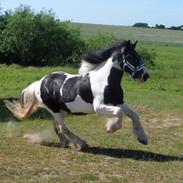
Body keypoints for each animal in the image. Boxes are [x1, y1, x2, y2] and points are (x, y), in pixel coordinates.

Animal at [5, 40, 149, 151]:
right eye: (131, 57)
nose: (145, 76)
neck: (105, 80)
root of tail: (40, 82)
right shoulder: (99, 107)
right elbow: (119, 113)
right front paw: (111, 128)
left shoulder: (118, 102)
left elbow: (134, 115)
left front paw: (142, 138)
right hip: (54, 110)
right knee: (63, 127)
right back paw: (80, 144)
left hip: (61, 110)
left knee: (58, 127)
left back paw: (66, 143)